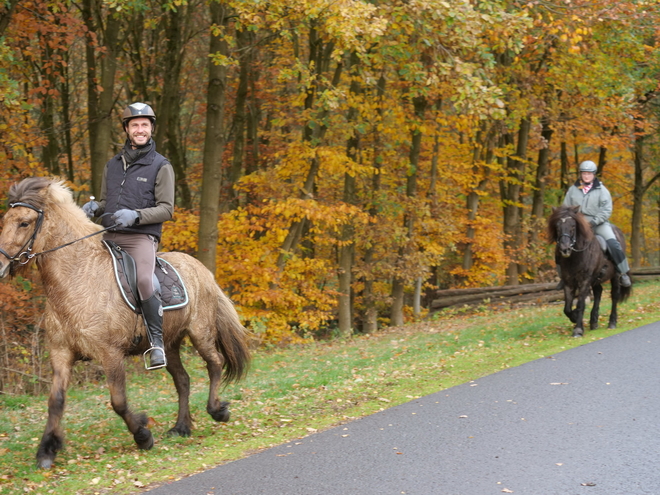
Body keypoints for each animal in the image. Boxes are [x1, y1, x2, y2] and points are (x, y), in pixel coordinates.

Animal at [0, 178, 251, 468]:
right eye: (5, 220)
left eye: (24, 223)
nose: (0, 266)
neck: (77, 277)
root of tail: (202, 270)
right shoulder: (61, 352)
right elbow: (56, 400)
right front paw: (46, 450)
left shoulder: (111, 354)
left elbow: (118, 401)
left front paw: (143, 435)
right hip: (169, 343)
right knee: (183, 380)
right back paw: (181, 427)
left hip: (201, 332)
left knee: (214, 364)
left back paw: (217, 410)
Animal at [544, 204, 632, 338]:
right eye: (557, 227)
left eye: (573, 226)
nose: (565, 249)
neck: (575, 256)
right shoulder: (568, 282)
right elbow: (567, 308)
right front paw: (575, 317)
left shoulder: (584, 281)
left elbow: (580, 304)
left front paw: (578, 330)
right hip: (595, 279)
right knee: (598, 292)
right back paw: (593, 321)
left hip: (615, 276)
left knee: (614, 296)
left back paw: (612, 322)